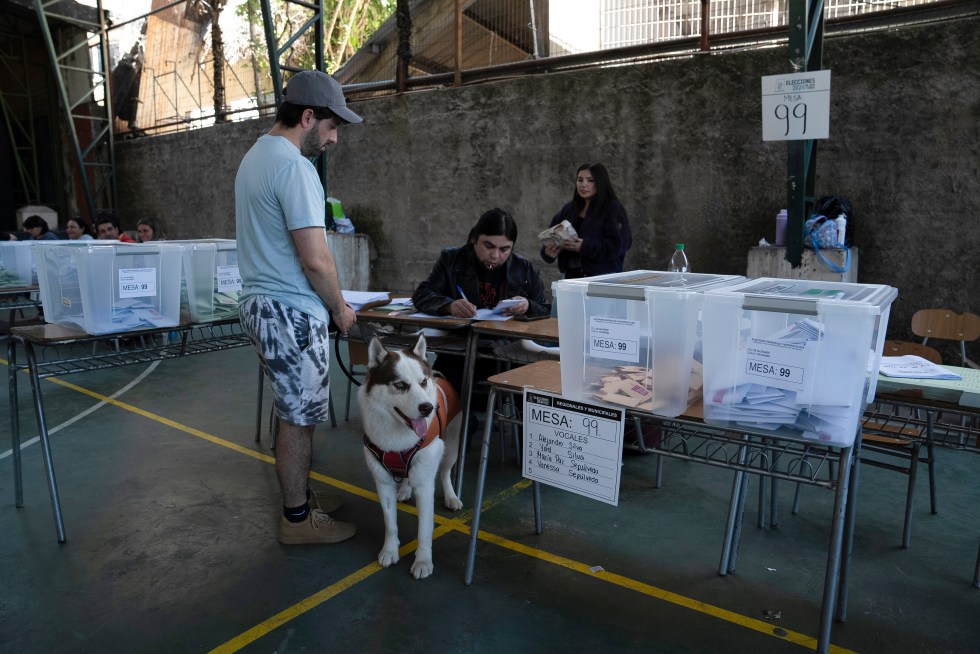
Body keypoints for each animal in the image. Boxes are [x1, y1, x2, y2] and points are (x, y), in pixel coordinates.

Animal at [360, 336, 464, 580]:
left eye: (423, 382)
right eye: (400, 385)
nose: (427, 408)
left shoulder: (425, 486)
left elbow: (424, 529)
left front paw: (423, 562)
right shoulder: (383, 482)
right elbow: (390, 523)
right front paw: (390, 551)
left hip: (451, 446)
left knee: (445, 472)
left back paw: (451, 497)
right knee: (407, 475)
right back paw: (405, 489)